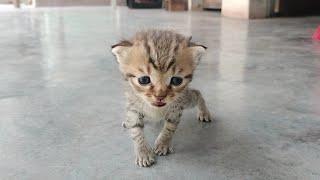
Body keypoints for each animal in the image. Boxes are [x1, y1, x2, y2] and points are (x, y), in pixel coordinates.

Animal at [110, 29, 212, 167]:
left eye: (176, 80)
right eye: (144, 80)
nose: (160, 96)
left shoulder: (176, 108)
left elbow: (170, 127)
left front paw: (163, 144)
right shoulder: (133, 105)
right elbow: (136, 130)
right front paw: (143, 153)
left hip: (185, 98)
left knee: (196, 93)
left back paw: (204, 112)